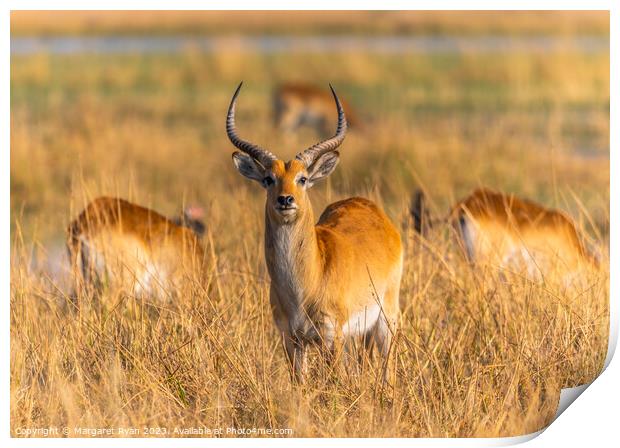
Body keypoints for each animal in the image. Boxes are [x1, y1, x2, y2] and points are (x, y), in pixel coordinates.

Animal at [228, 81, 402, 382]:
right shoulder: (292, 339)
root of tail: (372, 208)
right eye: (268, 179)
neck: (307, 281)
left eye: (303, 178)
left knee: (387, 370)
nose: (285, 200)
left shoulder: (333, 337)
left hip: (386, 320)